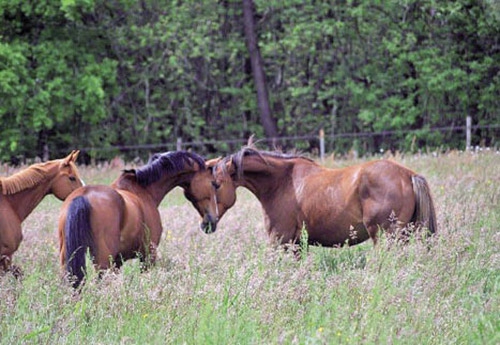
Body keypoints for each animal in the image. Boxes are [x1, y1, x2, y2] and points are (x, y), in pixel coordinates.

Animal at [58, 150, 221, 288]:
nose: (212, 222)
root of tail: (83, 197)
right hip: (103, 262)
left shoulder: (118, 261)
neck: (143, 190)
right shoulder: (148, 255)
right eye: (214, 184)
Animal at [205, 146, 436, 250]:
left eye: (216, 184)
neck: (281, 182)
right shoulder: (297, 245)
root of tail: (408, 175)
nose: (207, 223)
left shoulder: (282, 242)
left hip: (386, 237)